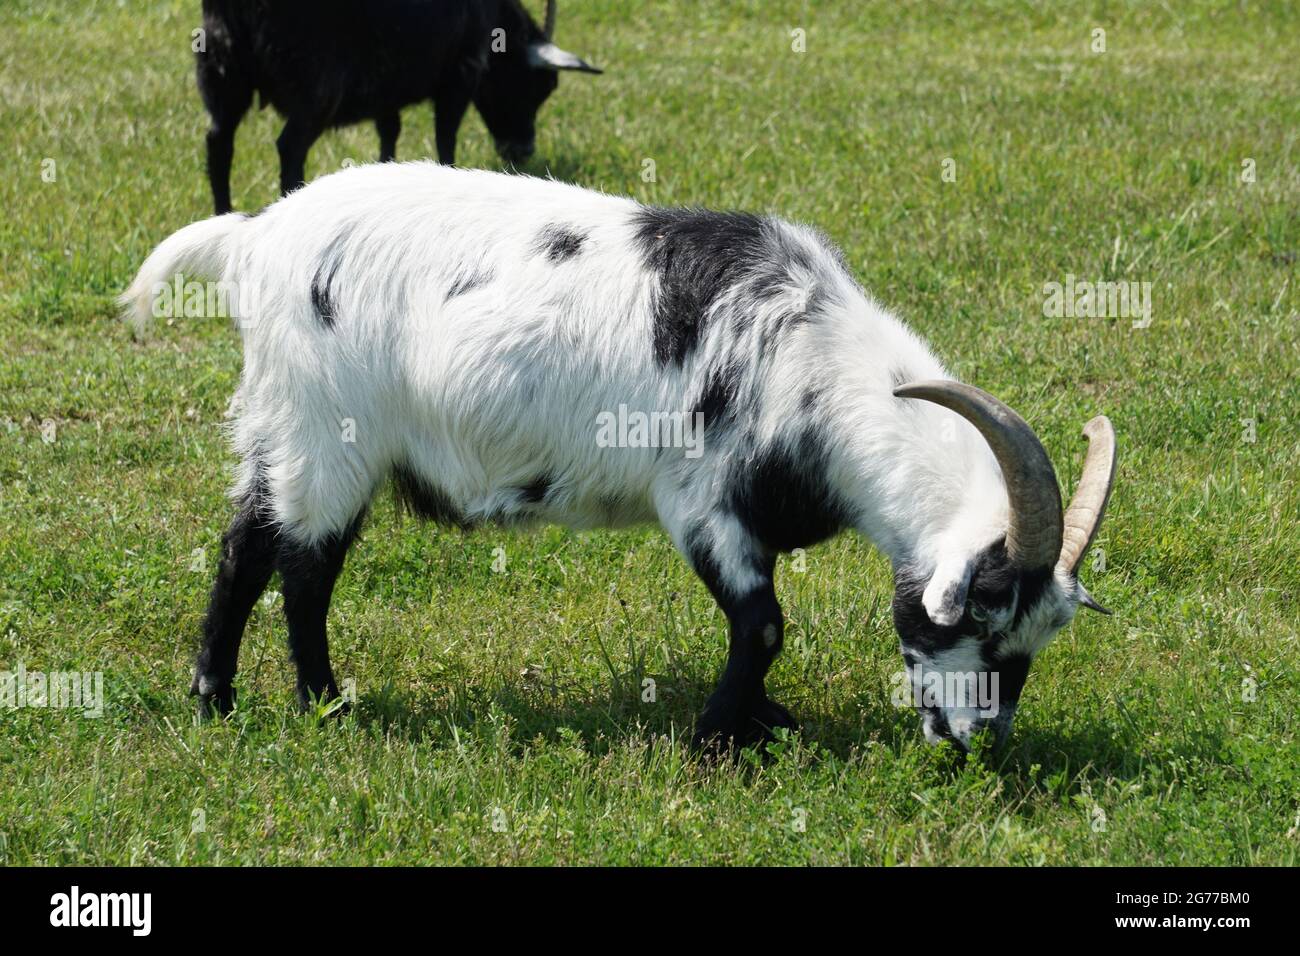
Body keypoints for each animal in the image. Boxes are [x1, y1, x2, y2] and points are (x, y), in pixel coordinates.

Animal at [122, 162, 1117, 752]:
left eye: (1035, 643)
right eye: (982, 616)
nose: (976, 744)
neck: (815, 357)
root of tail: (255, 238)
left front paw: (765, 722)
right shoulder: (705, 503)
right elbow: (762, 625)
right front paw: (717, 739)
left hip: (282, 429)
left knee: (247, 545)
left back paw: (215, 701)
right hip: (326, 430)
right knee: (304, 566)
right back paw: (324, 706)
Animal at [197, 0, 600, 214]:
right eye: (540, 86)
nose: (522, 150)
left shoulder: (385, 86)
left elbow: (389, 131)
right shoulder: (461, 71)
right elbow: (445, 136)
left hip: (221, 66)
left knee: (218, 142)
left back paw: (222, 212)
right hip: (317, 86)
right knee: (290, 147)